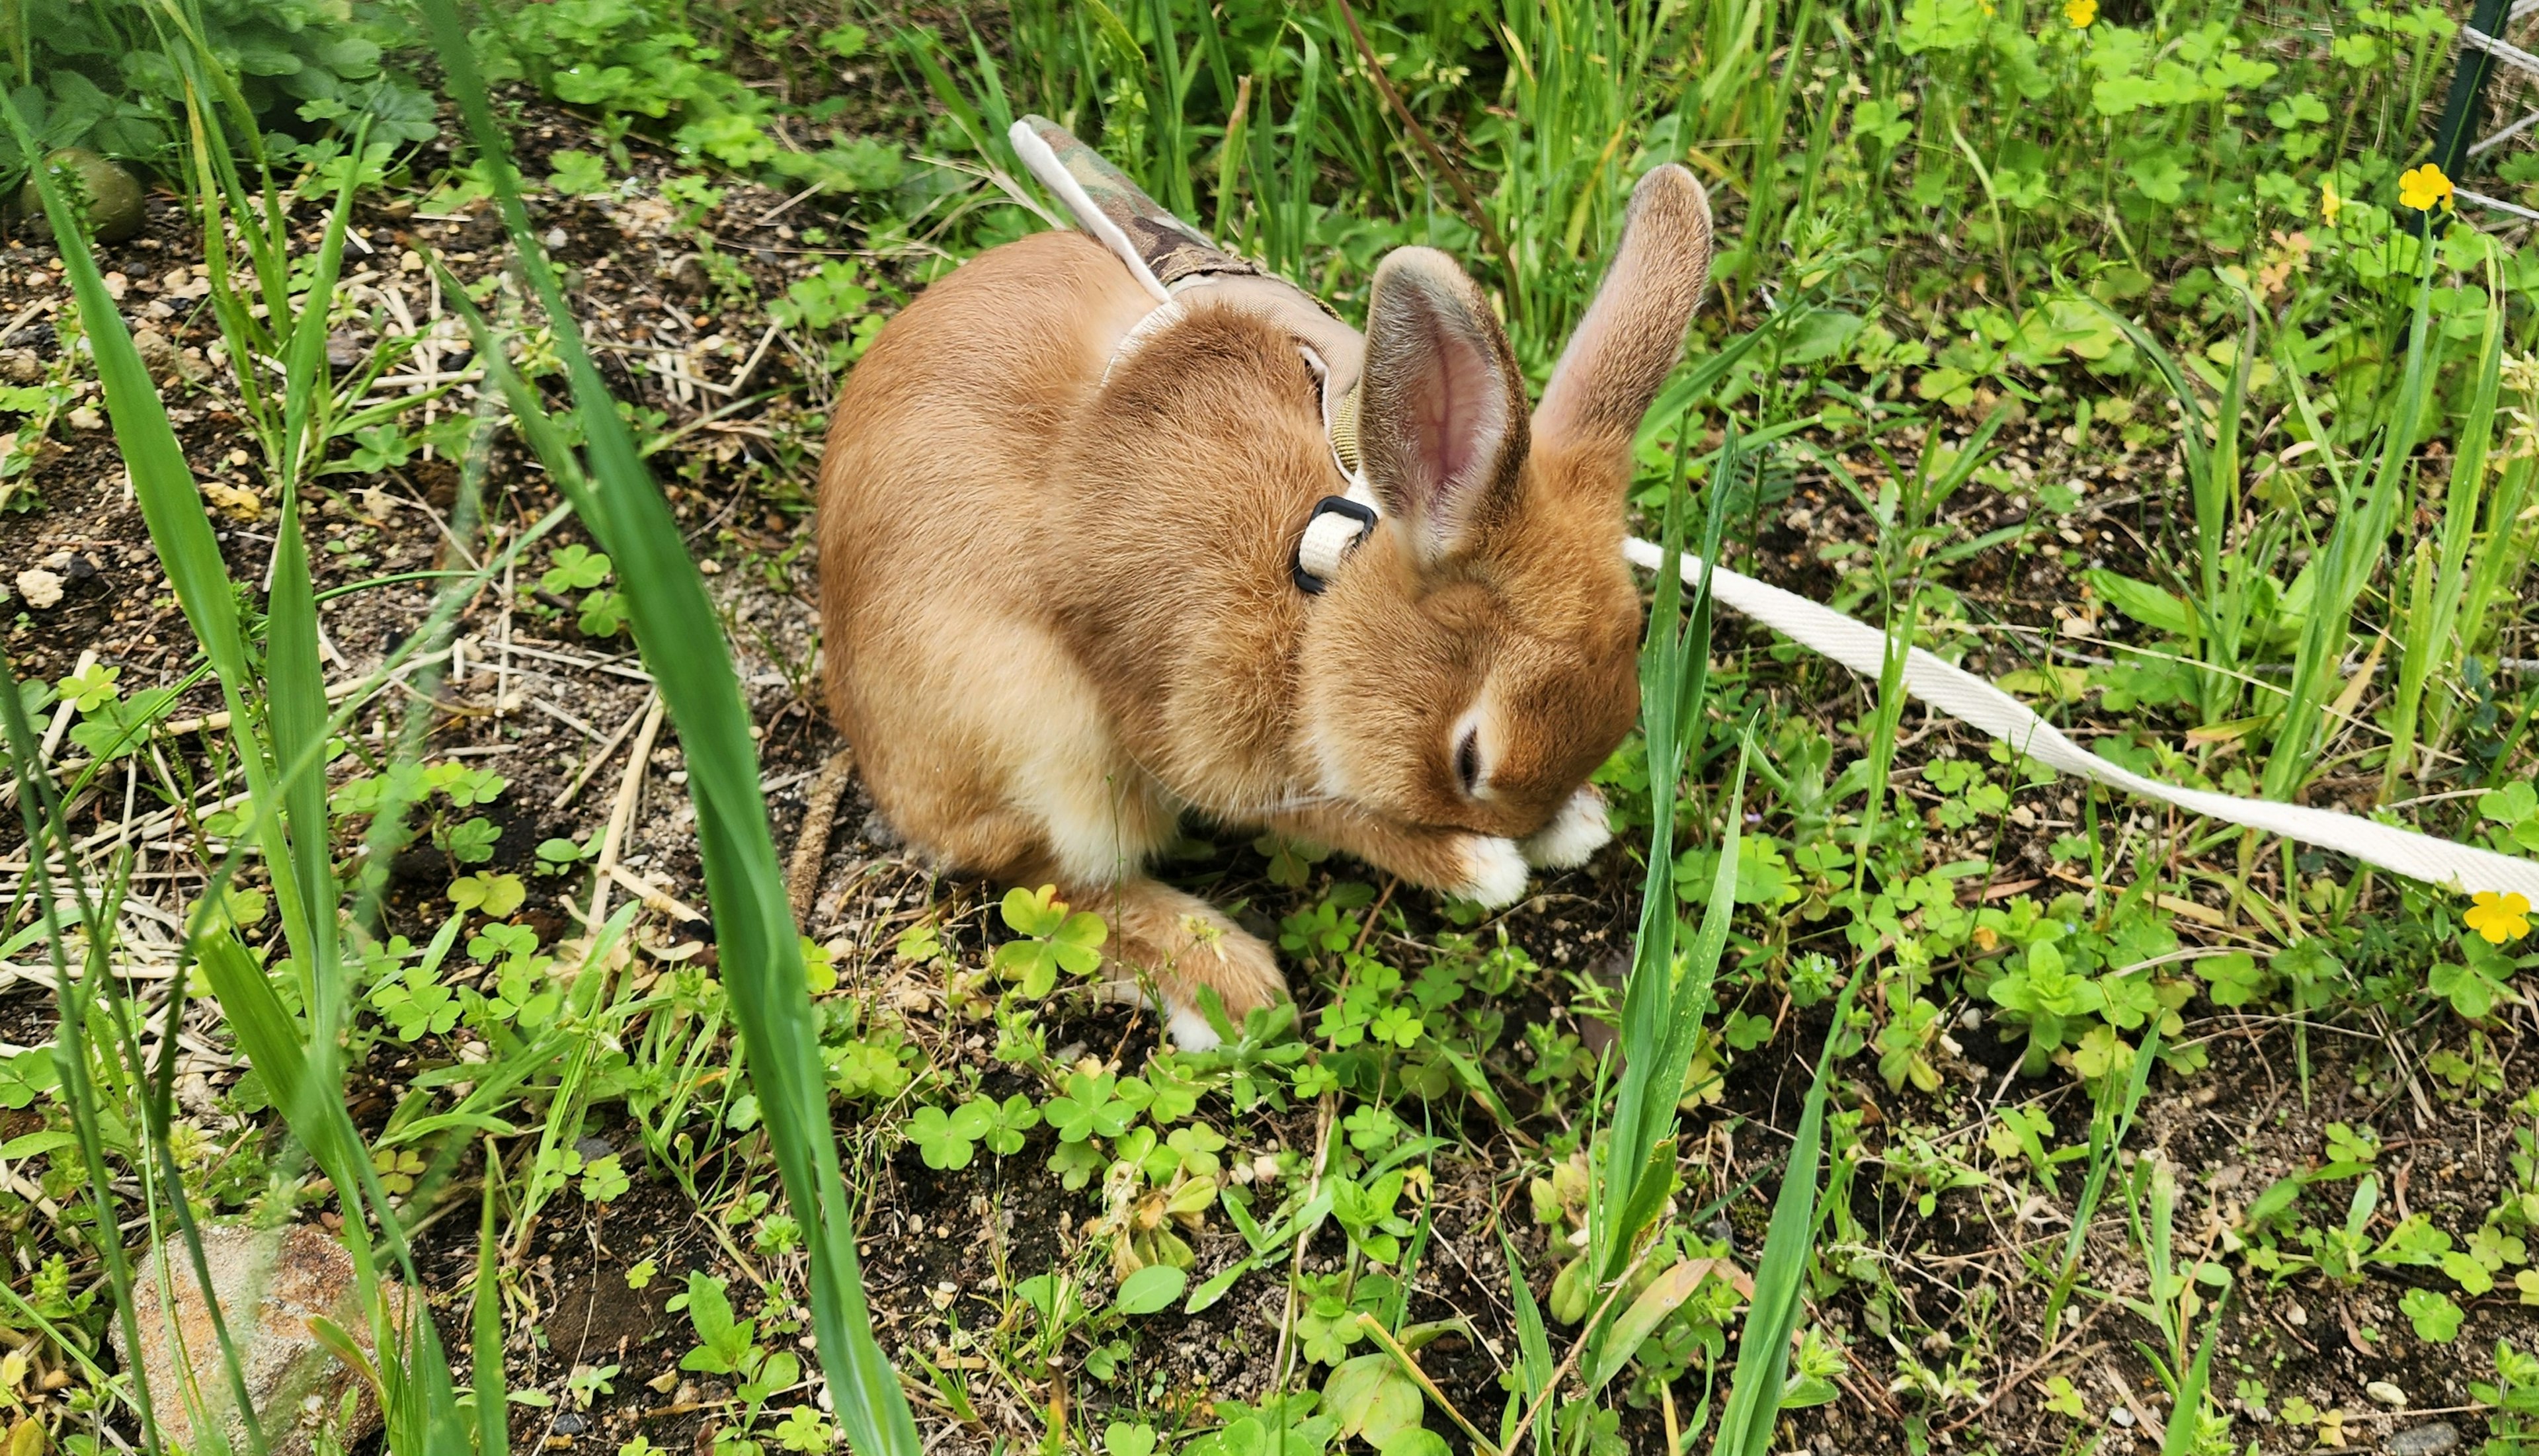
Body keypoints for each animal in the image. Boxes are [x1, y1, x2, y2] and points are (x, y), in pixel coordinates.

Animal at [823, 116, 1716, 1047]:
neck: (1320, 573)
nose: (1516, 828)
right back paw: (1228, 987)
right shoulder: (1191, 728)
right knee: (1045, 881)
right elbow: (1311, 810)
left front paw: (1570, 825)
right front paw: (1473, 864)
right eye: (1469, 758)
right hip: (1040, 731)